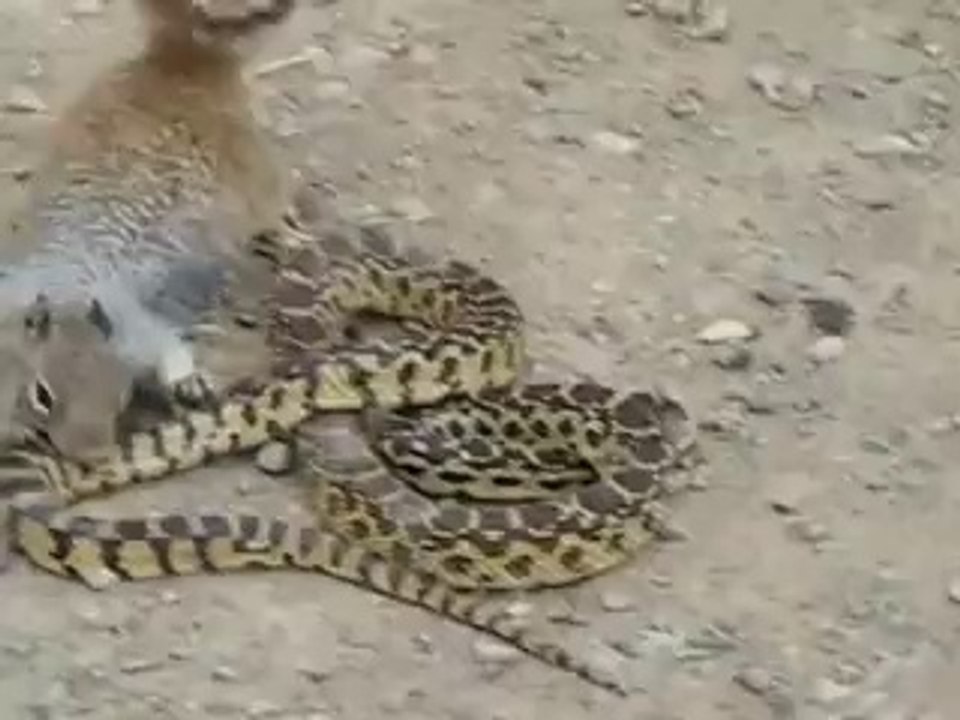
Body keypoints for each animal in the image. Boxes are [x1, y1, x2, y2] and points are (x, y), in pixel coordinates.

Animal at [0, 0, 300, 458]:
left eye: (120, 395)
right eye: (43, 395)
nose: (93, 456)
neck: (72, 290)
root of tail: (184, 66)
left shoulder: (143, 330)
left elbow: (168, 347)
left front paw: (187, 380)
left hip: (257, 180)